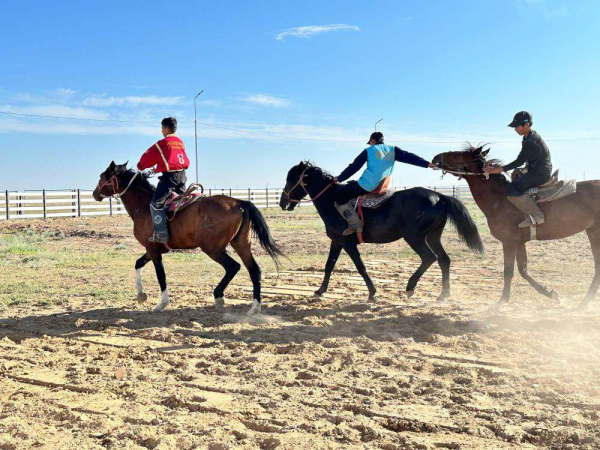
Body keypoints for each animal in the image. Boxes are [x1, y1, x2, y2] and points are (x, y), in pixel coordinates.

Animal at [92, 161, 284, 312]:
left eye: (102, 176)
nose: (94, 193)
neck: (143, 205)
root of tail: (240, 203)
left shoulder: (153, 249)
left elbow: (161, 275)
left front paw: (162, 303)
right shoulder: (154, 249)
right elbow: (138, 263)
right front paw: (141, 295)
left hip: (213, 248)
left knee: (233, 267)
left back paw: (218, 296)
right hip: (241, 244)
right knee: (254, 270)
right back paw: (254, 307)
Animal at [278, 162, 486, 302]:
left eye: (291, 179)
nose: (282, 202)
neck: (332, 201)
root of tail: (440, 196)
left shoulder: (348, 243)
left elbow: (360, 267)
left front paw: (372, 293)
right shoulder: (336, 242)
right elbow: (329, 265)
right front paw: (320, 290)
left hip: (415, 238)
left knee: (429, 258)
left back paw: (410, 287)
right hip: (433, 236)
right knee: (444, 260)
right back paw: (443, 294)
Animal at [434, 146, 600, 308]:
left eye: (457, 155)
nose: (435, 158)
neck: (499, 198)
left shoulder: (509, 242)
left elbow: (508, 271)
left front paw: (502, 300)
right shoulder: (519, 242)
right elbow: (523, 270)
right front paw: (550, 294)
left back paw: (584, 302)